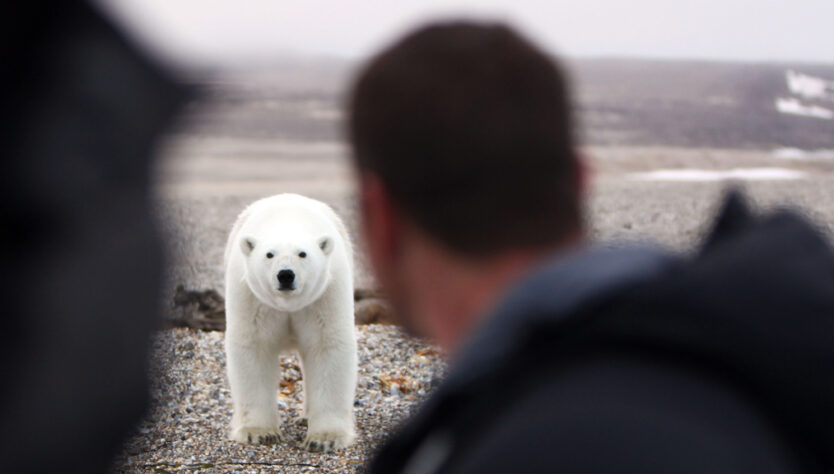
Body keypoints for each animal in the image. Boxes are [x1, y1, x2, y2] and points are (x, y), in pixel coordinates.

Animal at [223, 193, 357, 452]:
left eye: (302, 254)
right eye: (269, 254)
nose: (285, 275)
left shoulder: (325, 294)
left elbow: (327, 346)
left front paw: (324, 438)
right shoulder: (251, 297)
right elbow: (253, 347)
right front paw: (259, 432)